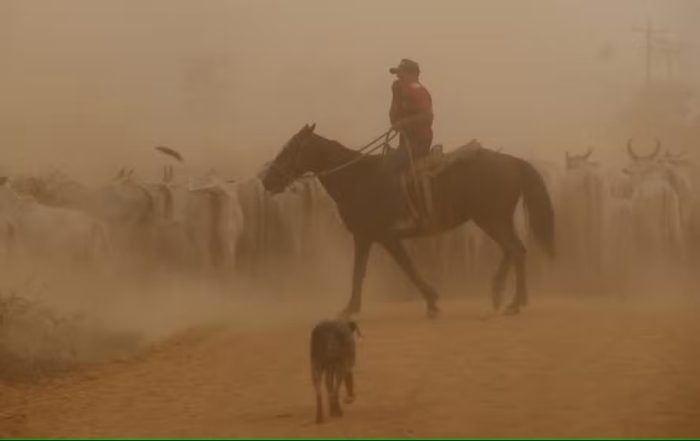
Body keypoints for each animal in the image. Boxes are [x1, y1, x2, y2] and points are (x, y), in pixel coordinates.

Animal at [260, 124, 556, 316]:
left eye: (291, 148)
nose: (268, 179)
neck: (356, 178)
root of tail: (513, 162)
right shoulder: (365, 237)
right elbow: (360, 271)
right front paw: (352, 307)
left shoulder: (385, 237)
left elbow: (406, 267)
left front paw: (432, 301)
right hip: (495, 219)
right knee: (515, 250)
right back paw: (505, 295)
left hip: (491, 219)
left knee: (514, 249)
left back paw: (512, 301)